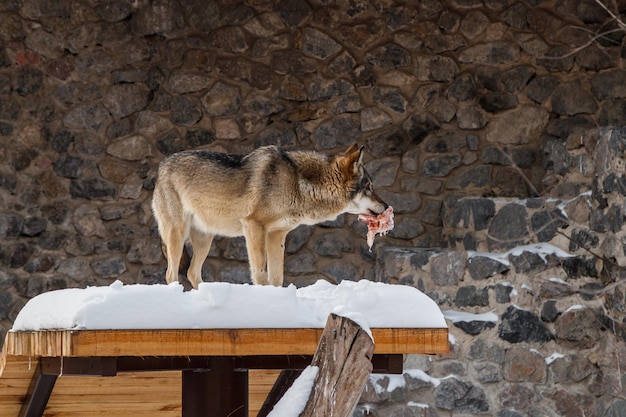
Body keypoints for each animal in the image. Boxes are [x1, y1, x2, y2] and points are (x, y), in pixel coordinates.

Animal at [151, 143, 386, 286]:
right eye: (369, 186)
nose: (386, 207)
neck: (299, 183)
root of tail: (161, 167)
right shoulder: (254, 226)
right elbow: (260, 272)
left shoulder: (277, 235)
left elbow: (277, 277)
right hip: (177, 234)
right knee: (171, 274)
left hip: (204, 239)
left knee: (192, 272)